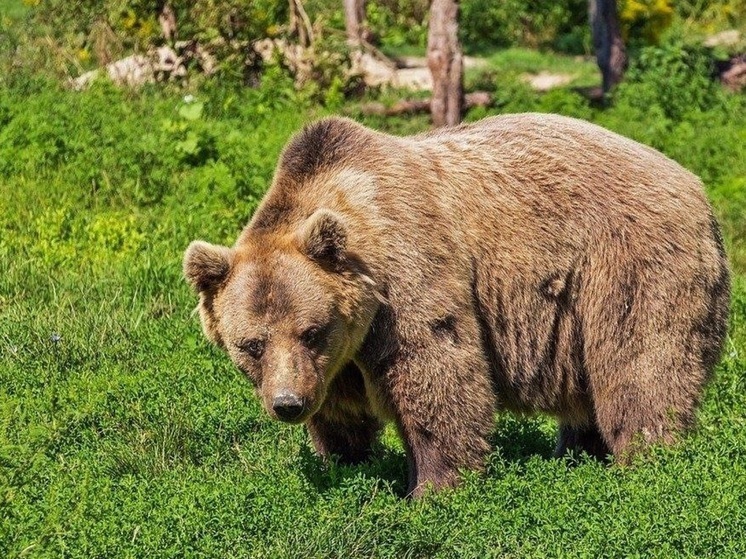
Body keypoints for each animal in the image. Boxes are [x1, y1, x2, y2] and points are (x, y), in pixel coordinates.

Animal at [183, 115, 728, 498]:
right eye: (251, 344)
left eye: (311, 330)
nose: (287, 404)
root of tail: (697, 187)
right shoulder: (336, 360)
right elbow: (340, 412)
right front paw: (346, 464)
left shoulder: (407, 277)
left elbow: (437, 373)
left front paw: (433, 489)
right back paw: (577, 454)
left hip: (628, 265)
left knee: (640, 367)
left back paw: (646, 462)